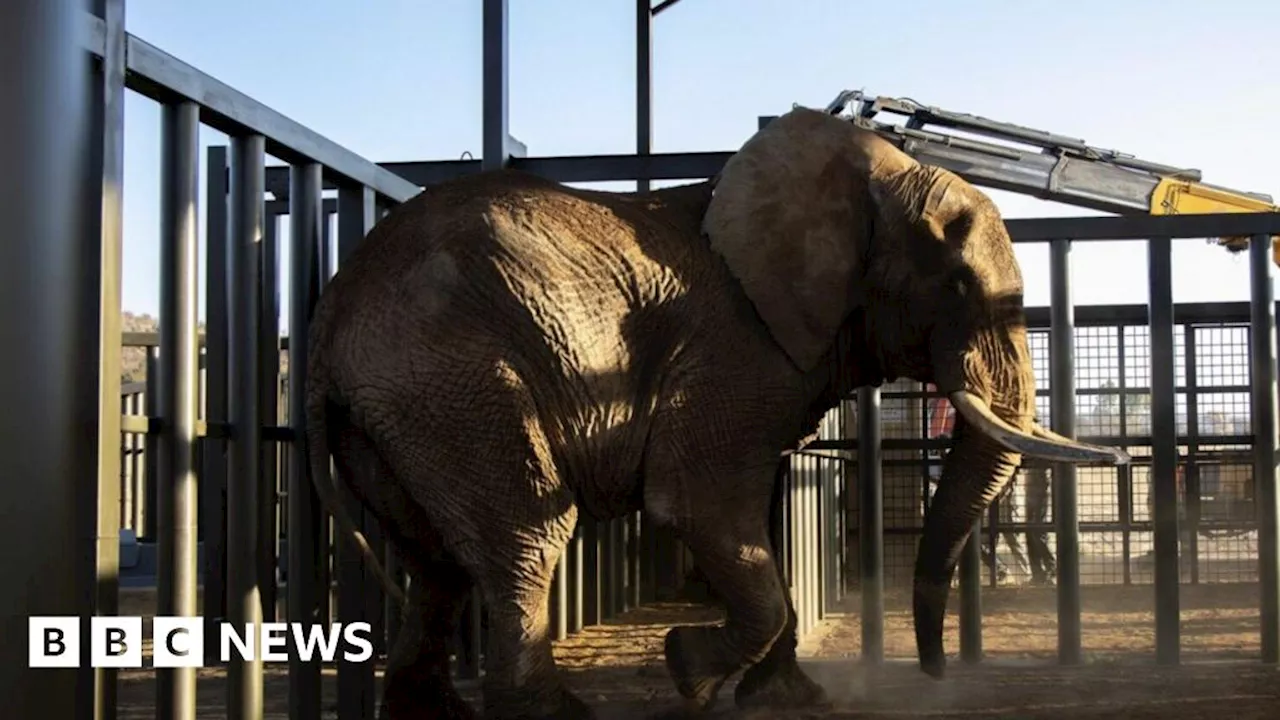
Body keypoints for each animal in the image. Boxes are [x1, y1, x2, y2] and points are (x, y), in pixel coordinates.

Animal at [304, 106, 1126, 717]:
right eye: (954, 285)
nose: (934, 675)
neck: (870, 177)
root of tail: (331, 311)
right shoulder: (734, 346)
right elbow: (699, 503)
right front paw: (688, 672)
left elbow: (756, 521)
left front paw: (792, 699)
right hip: (455, 377)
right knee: (527, 534)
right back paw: (557, 714)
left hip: (398, 407)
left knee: (433, 556)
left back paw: (430, 714)